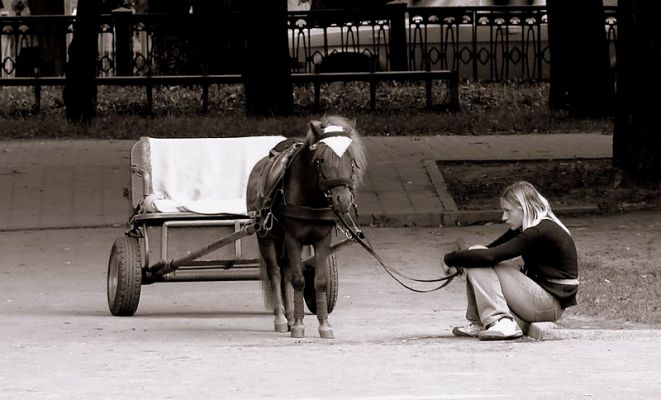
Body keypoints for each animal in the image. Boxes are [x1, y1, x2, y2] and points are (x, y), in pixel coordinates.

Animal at [245, 115, 366, 338]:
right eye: (321, 159)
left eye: (350, 159)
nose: (343, 199)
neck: (311, 197)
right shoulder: (293, 238)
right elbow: (299, 281)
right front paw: (299, 326)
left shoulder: (322, 239)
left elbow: (319, 281)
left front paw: (324, 325)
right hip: (266, 237)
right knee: (275, 272)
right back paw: (281, 318)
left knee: (286, 273)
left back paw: (290, 315)